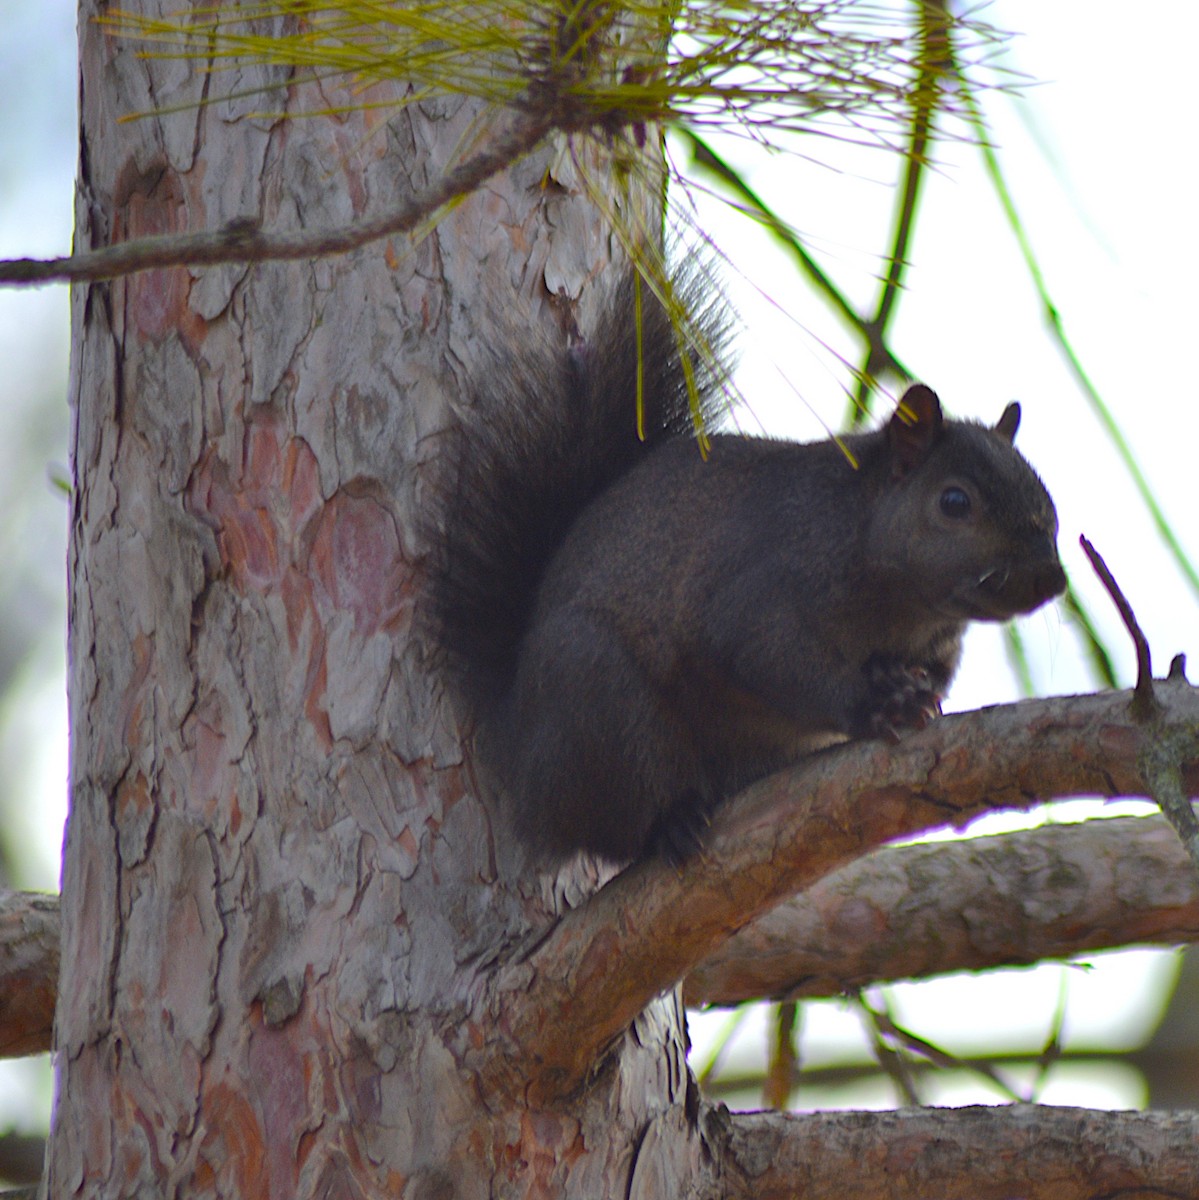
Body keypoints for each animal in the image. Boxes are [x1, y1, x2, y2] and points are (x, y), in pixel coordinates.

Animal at [430, 269, 1066, 867]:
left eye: (1045, 493)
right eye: (954, 501)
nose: (1051, 579)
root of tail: (517, 746)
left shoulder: (939, 645)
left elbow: (933, 674)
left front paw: (895, 678)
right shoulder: (766, 585)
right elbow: (763, 652)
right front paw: (877, 703)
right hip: (595, 697)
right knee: (618, 821)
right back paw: (670, 823)